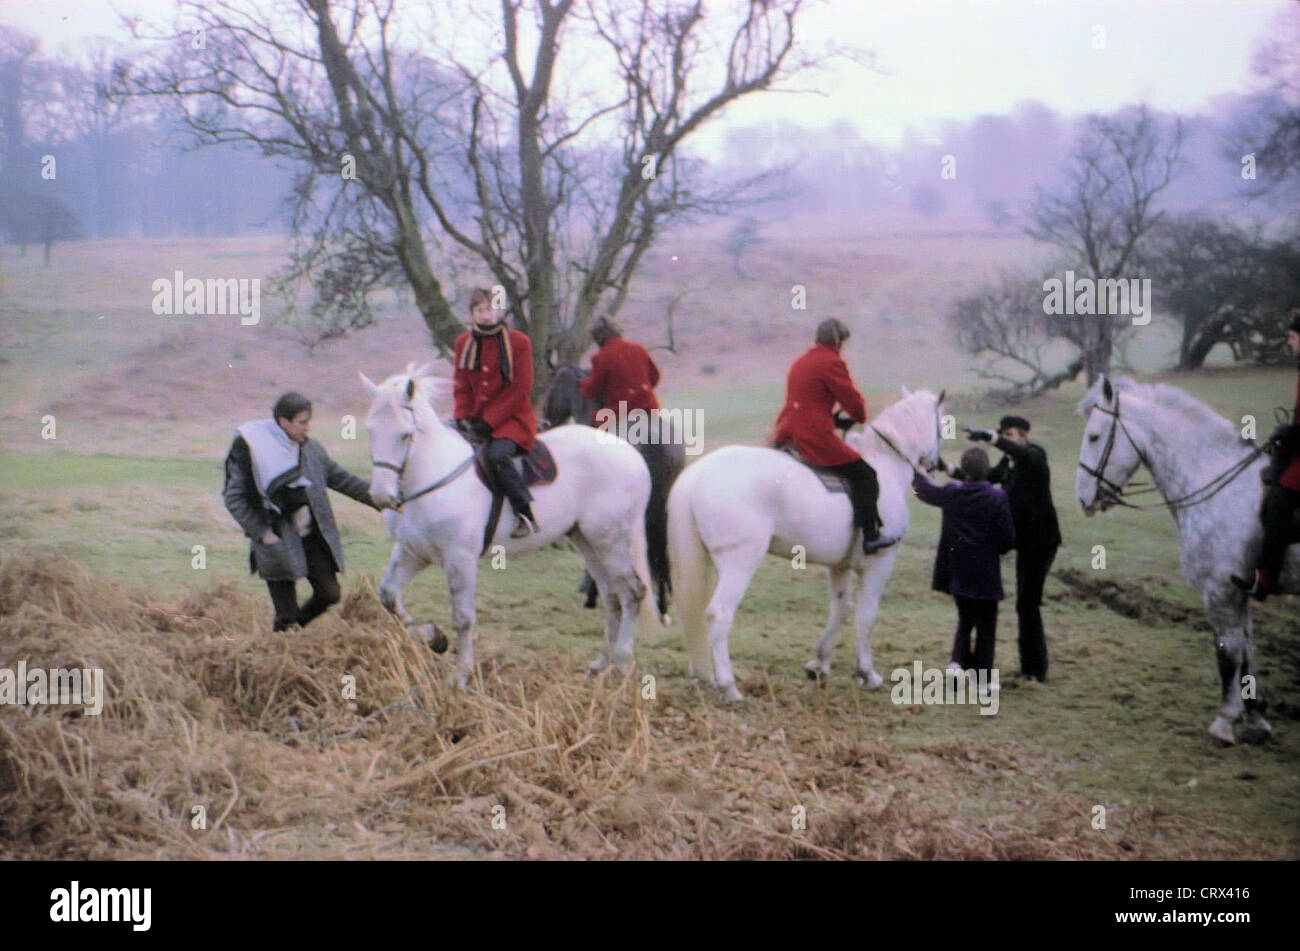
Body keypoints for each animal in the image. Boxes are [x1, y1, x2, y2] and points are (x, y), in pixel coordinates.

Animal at [358, 363, 655, 685]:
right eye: (370, 431)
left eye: (405, 435)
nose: (381, 496)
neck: (432, 475)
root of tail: (633, 456)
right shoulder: (413, 552)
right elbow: (389, 596)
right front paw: (434, 638)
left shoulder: (460, 558)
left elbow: (463, 618)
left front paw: (461, 674)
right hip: (587, 541)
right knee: (612, 596)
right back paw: (601, 664)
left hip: (611, 541)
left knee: (632, 592)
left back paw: (623, 664)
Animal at [670, 381, 946, 701]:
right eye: (942, 424)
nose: (938, 465)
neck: (885, 464)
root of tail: (696, 476)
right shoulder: (879, 563)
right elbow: (866, 616)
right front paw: (867, 674)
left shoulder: (838, 566)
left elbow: (841, 608)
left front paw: (819, 664)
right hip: (739, 562)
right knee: (718, 614)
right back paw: (729, 687)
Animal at [1076, 374, 1289, 743]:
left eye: (1094, 436)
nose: (1082, 498)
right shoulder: (1238, 592)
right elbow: (1247, 651)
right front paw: (1254, 717)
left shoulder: (1220, 590)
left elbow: (1228, 652)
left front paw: (1224, 721)